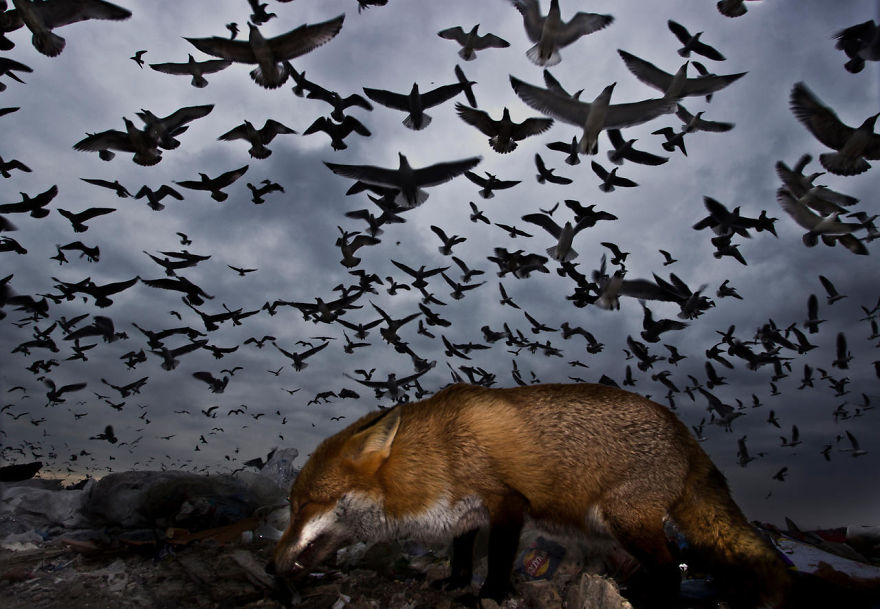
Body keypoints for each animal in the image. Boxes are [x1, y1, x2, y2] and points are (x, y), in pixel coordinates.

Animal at [270, 383, 791, 608]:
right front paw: (456, 583)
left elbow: (500, 556)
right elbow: (463, 553)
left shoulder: (507, 502)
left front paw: (493, 594)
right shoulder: (465, 514)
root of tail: (686, 433)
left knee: (669, 571)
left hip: (625, 520)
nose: (273, 563)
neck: (437, 451)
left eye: (304, 505)